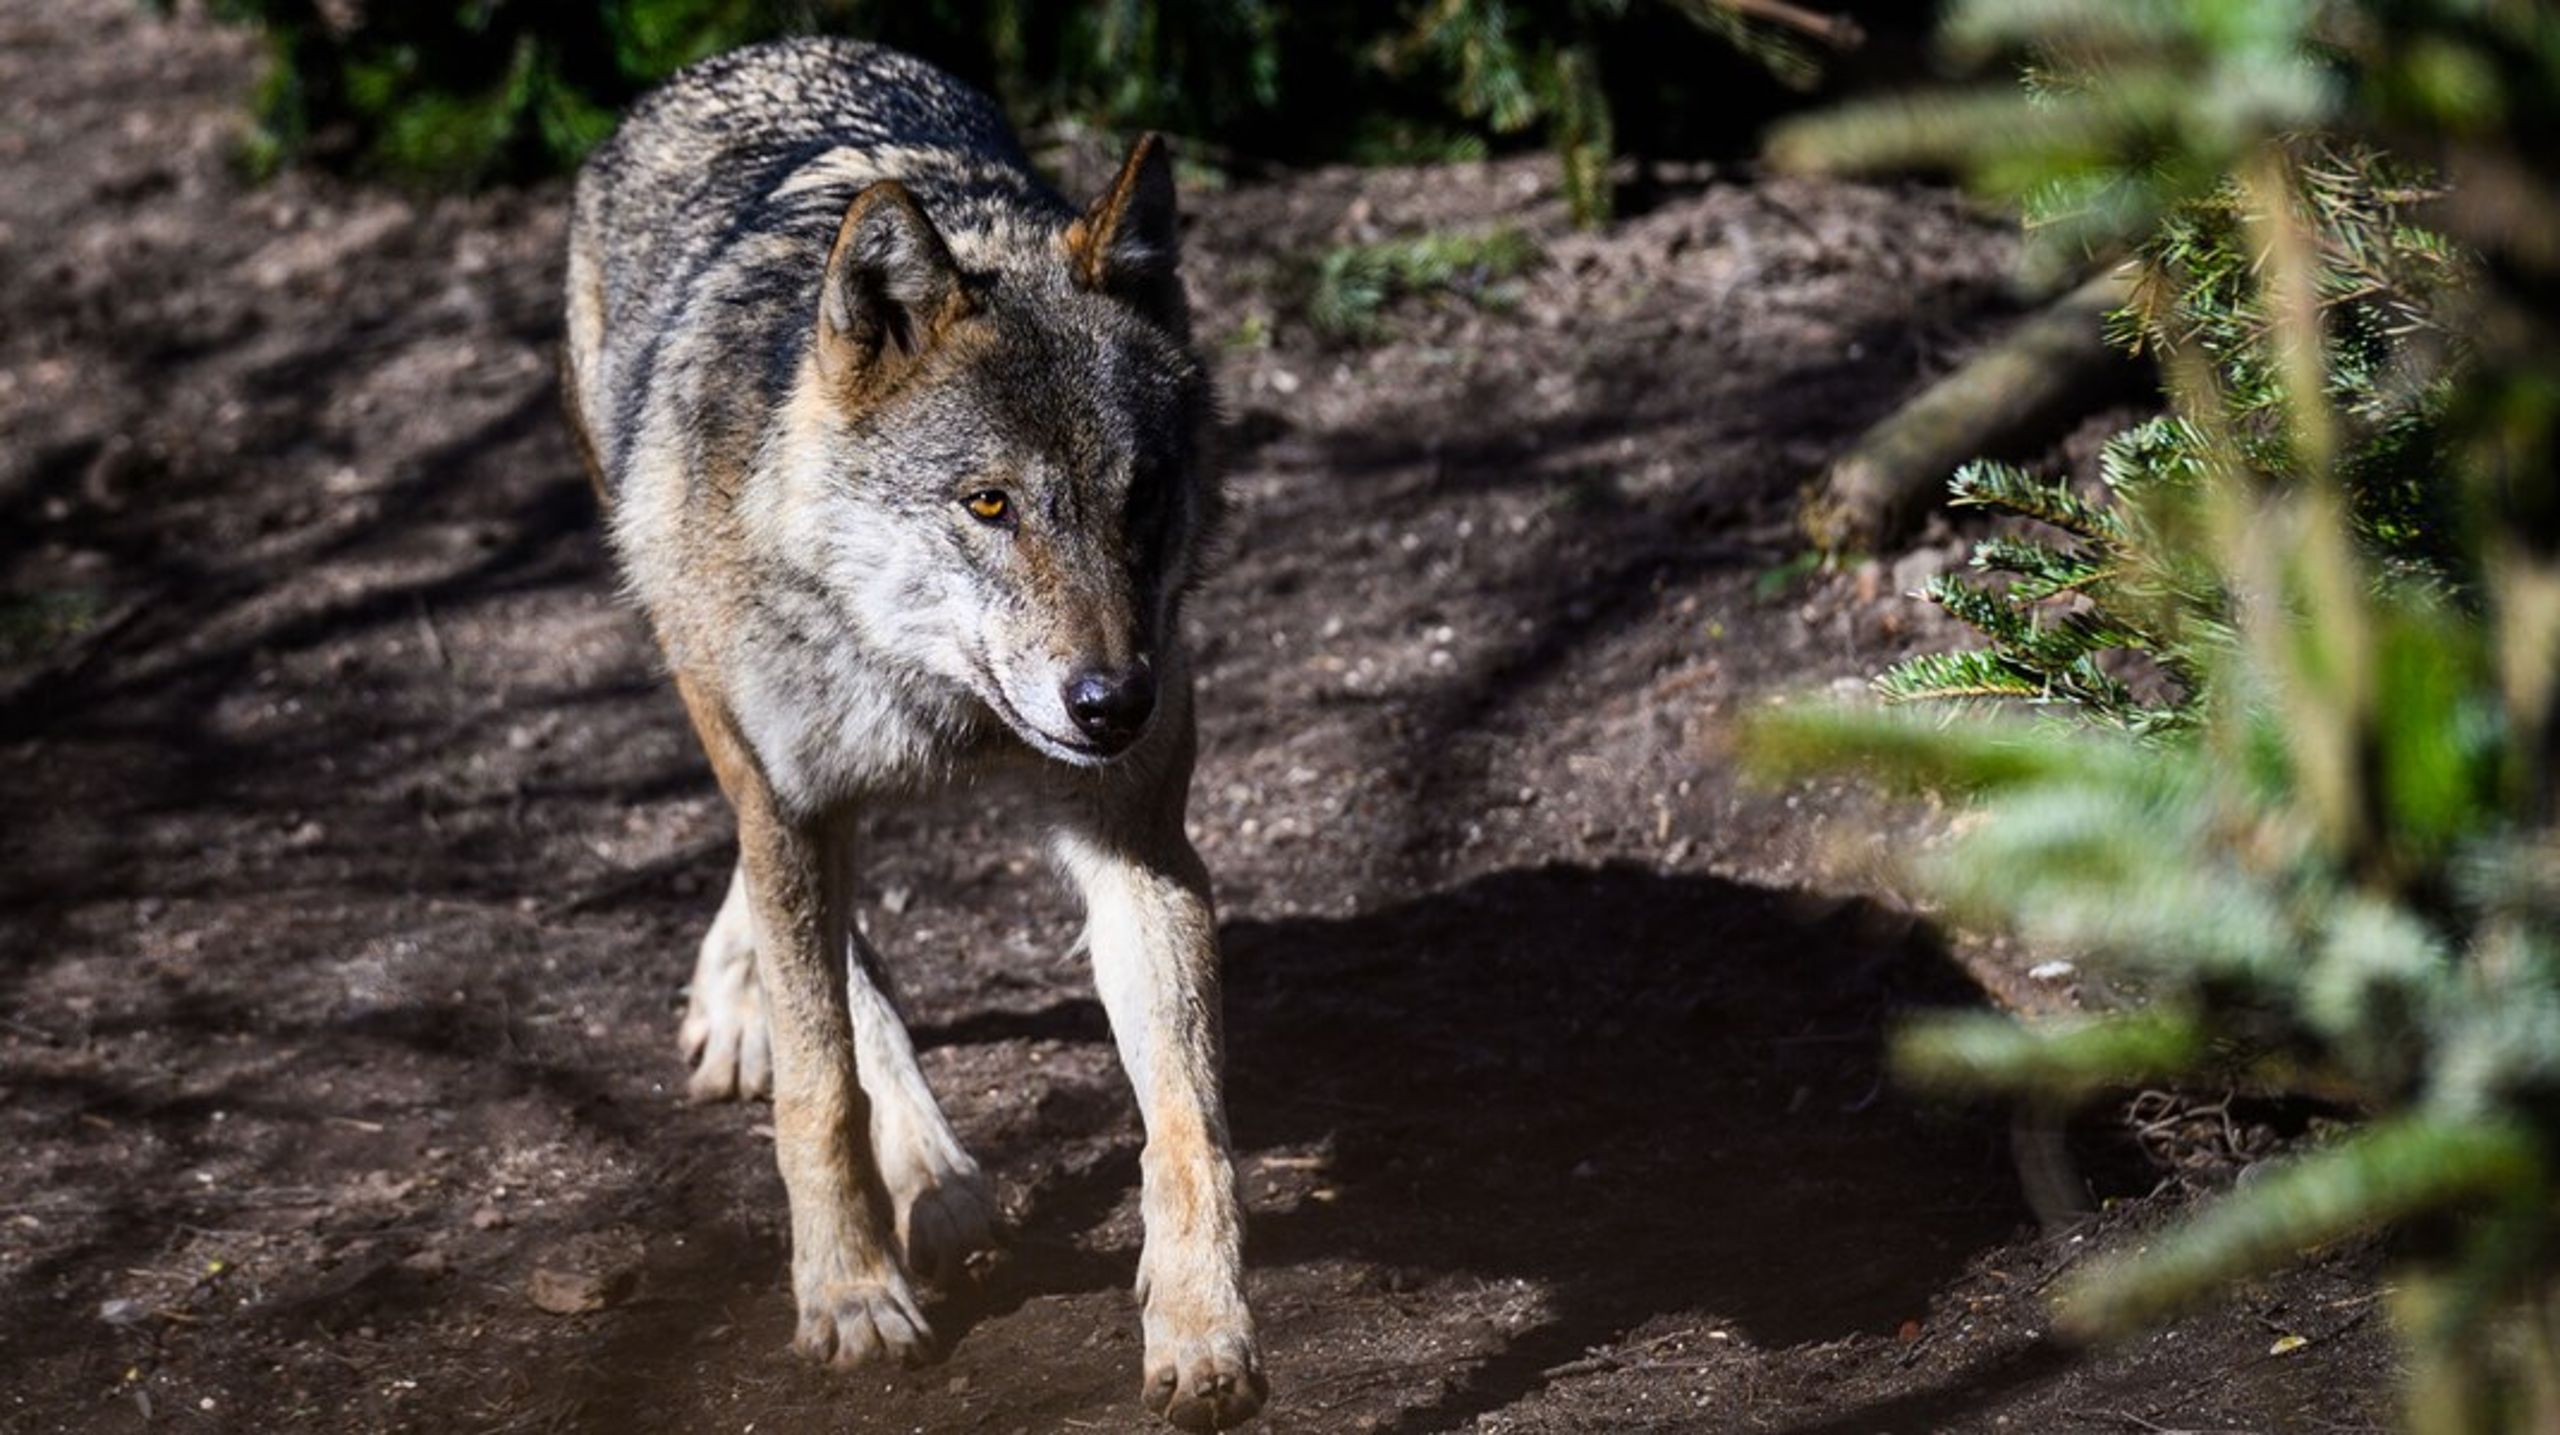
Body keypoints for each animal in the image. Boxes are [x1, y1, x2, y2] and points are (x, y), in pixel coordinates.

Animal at [570, 39, 1269, 1422]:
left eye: (1141, 495)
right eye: (988, 503)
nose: (1113, 704)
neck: (937, 703)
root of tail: (747, 54)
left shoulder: (1138, 841)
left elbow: (1185, 1123)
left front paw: (1201, 1328)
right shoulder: (790, 800)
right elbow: (819, 1087)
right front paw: (846, 1293)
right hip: (700, 674)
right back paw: (919, 1171)